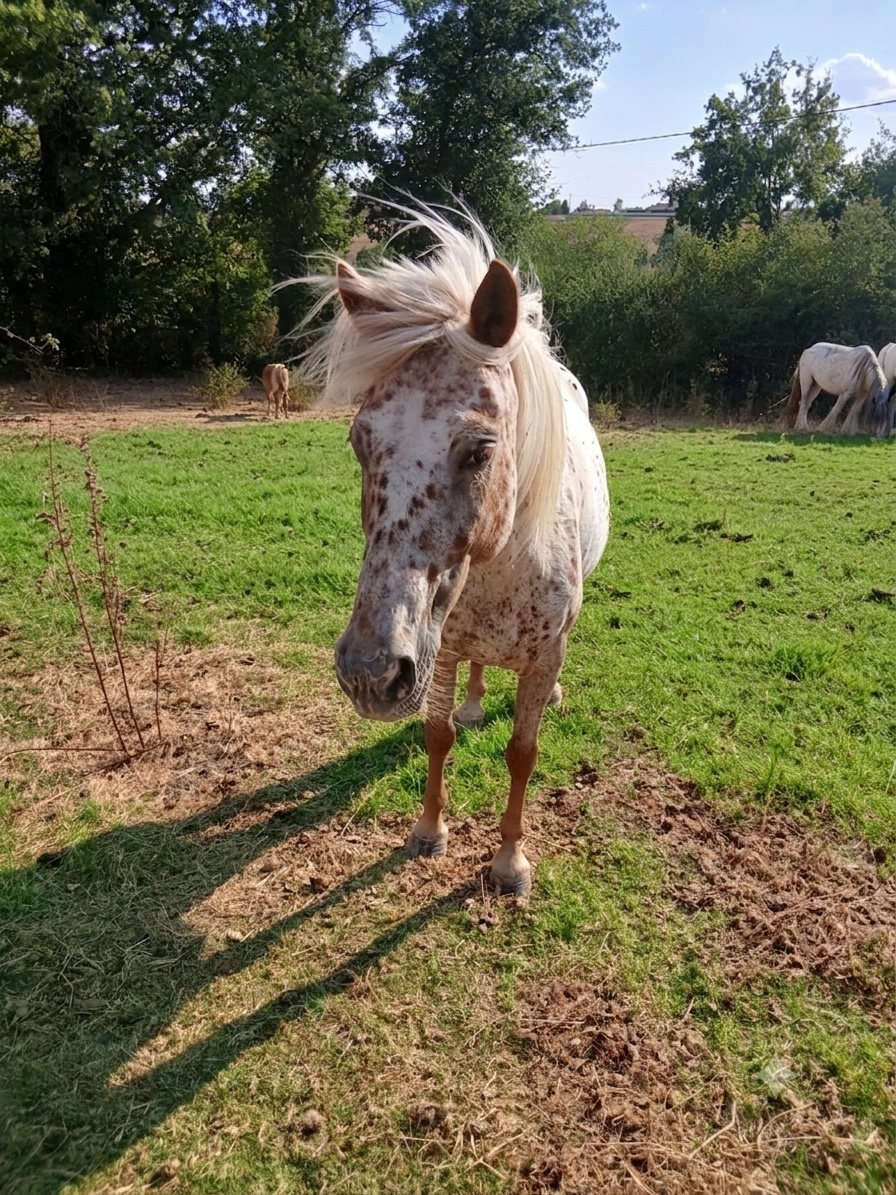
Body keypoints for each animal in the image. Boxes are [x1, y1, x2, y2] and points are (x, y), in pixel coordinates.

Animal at [298, 205, 610, 896]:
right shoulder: (434, 647)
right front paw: (428, 830)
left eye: (480, 450)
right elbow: (436, 735)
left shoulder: (541, 654)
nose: (369, 673)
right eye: (359, 441)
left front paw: (509, 862)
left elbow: (522, 754)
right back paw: (472, 704)